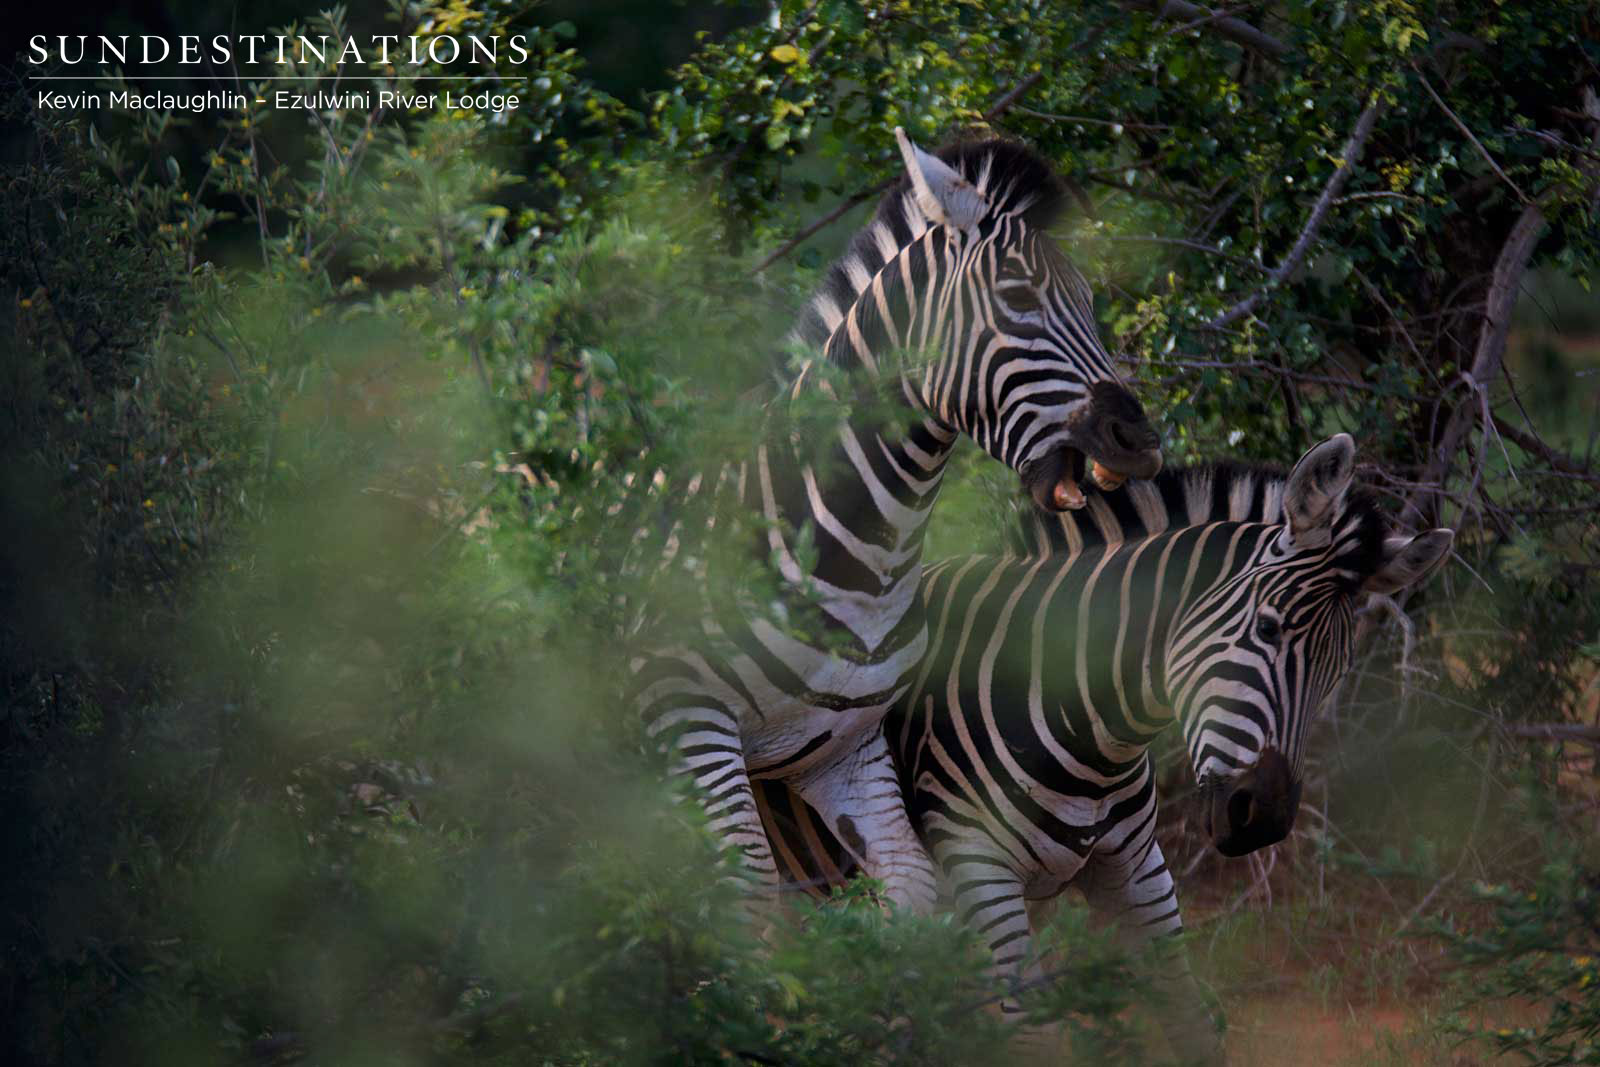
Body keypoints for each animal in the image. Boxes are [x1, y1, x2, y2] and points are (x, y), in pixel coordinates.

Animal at [629, 129, 1166, 913]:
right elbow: (749, 892)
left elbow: (912, 888)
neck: (861, 558)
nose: (1140, 440)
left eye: (1092, 304)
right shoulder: (686, 711)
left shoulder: (842, 746)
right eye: (1017, 297)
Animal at [754, 434, 1454, 1058]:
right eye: (1267, 628)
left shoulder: (1137, 866)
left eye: (1338, 669)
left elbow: (1191, 1020)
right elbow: (1031, 1039)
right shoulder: (980, 873)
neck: (1088, 731)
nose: (1265, 820)